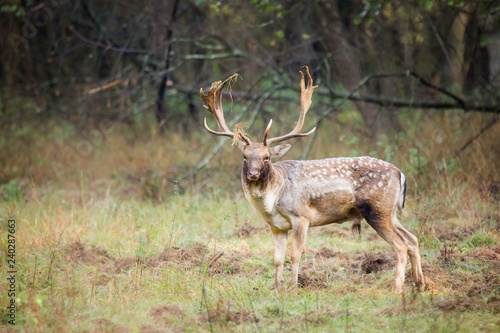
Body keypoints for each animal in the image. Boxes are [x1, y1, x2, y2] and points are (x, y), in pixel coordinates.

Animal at [199, 66, 426, 292]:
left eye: (267, 157)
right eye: (245, 157)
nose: (253, 174)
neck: (273, 200)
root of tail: (400, 173)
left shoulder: (302, 216)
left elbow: (295, 255)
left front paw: (293, 287)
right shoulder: (276, 226)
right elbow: (277, 258)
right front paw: (277, 287)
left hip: (377, 210)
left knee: (401, 245)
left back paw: (397, 288)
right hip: (391, 212)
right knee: (413, 239)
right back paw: (420, 284)